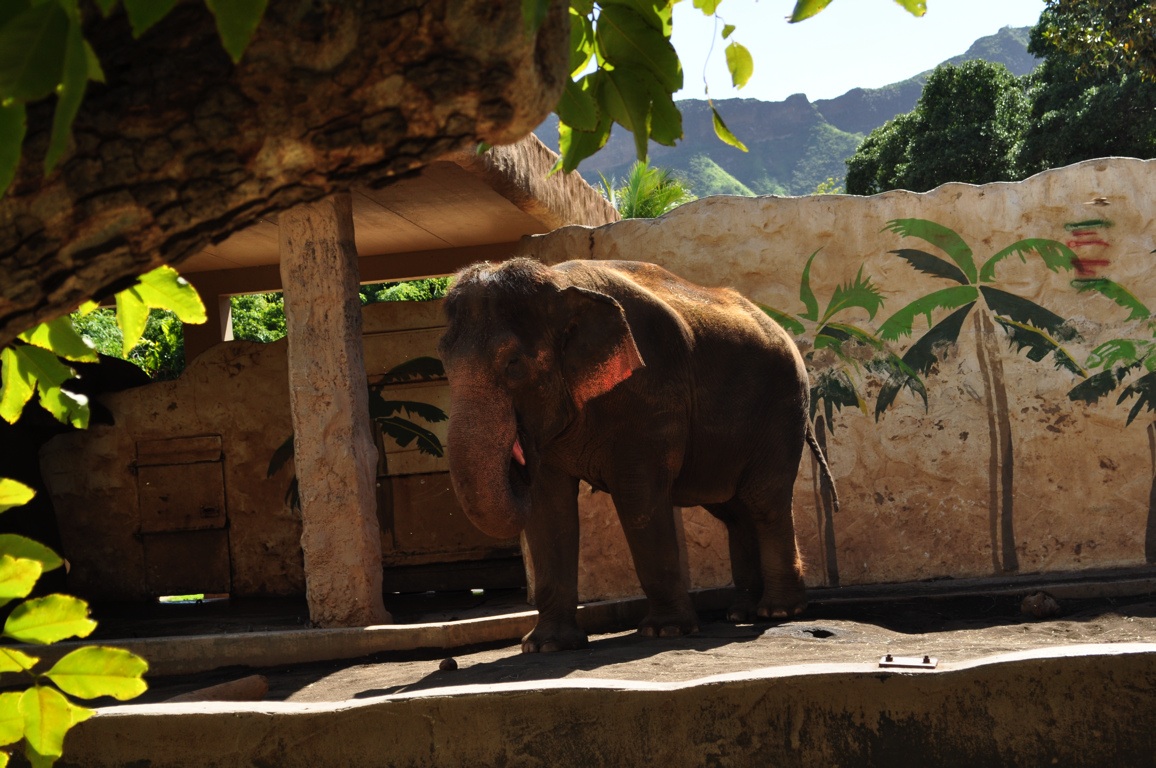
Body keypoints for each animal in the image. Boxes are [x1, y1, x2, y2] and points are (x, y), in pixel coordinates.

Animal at [438, 257, 836, 652]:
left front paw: (665, 631)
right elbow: (549, 507)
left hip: (783, 407)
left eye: (514, 364)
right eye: (444, 365)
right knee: (734, 510)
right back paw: (741, 612)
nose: (518, 457)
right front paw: (545, 646)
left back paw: (778, 611)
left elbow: (638, 497)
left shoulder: (649, 393)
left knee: (764, 501)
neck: (557, 282)